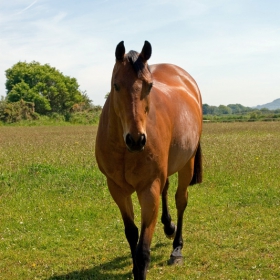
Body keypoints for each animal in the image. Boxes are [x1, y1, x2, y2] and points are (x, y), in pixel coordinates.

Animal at [95, 40, 202, 278]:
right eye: (116, 85)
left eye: (150, 86)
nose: (136, 139)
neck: (126, 151)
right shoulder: (117, 189)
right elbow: (131, 233)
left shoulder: (149, 188)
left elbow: (143, 248)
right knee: (167, 189)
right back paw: (168, 226)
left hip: (187, 164)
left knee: (181, 200)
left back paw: (177, 248)